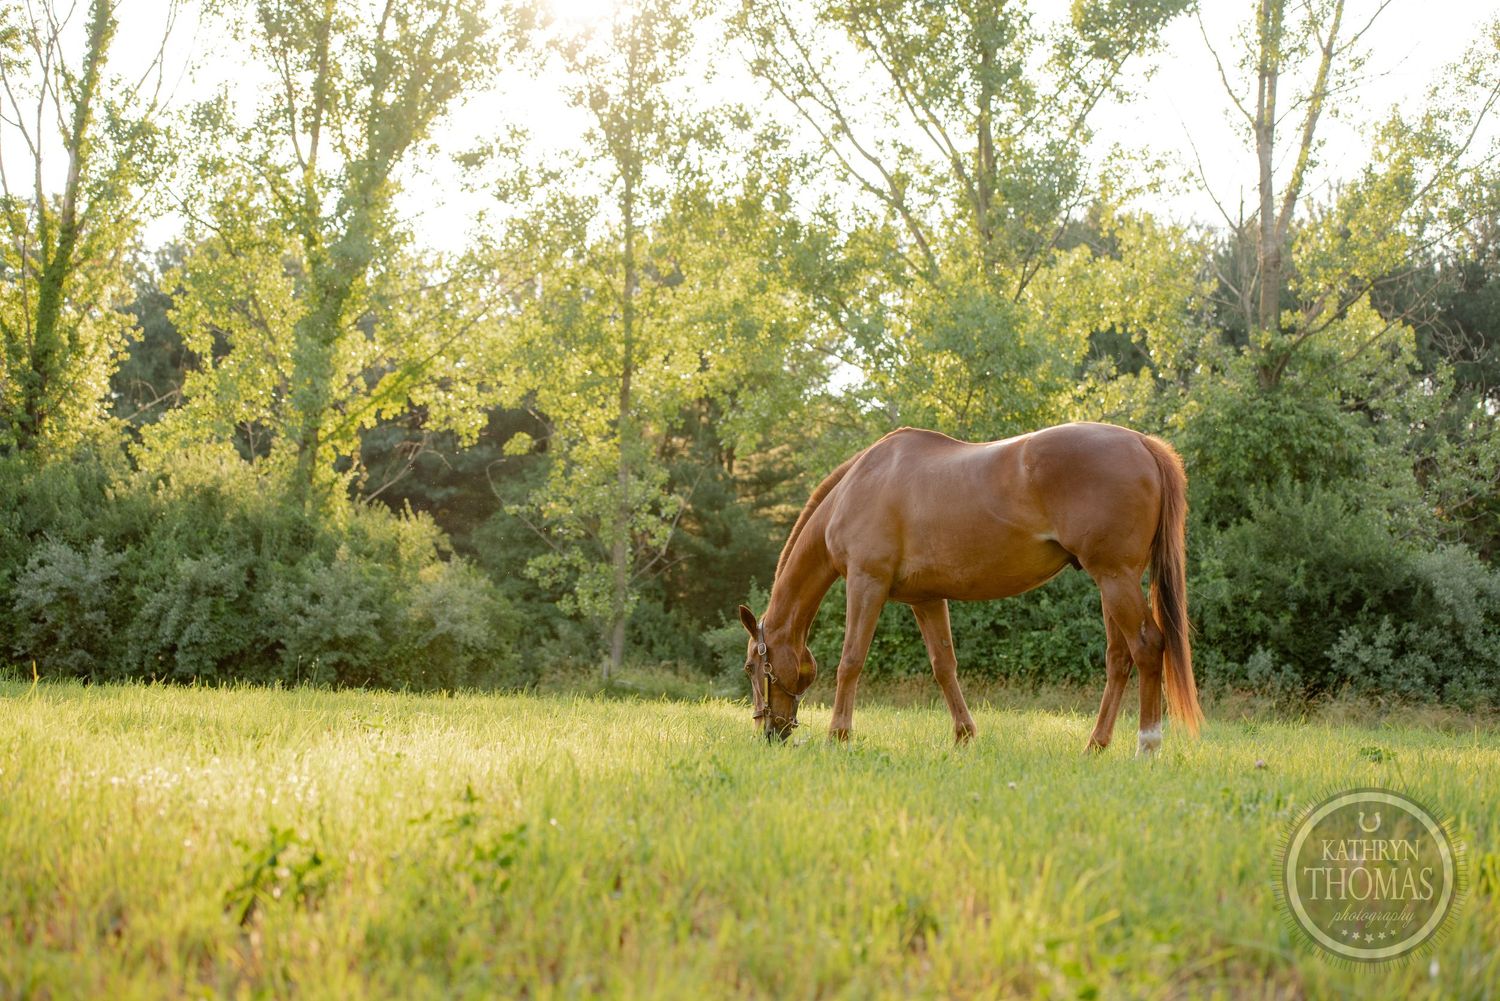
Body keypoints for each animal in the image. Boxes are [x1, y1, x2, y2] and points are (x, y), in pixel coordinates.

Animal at [736, 422, 1203, 754]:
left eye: (751, 666)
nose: (769, 732)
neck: (860, 484)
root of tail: (1142, 443)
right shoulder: (925, 599)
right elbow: (944, 666)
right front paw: (964, 735)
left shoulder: (866, 584)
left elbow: (850, 661)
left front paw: (838, 735)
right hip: (1113, 583)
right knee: (1118, 659)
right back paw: (1096, 745)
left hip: (1115, 578)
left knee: (1147, 647)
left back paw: (1147, 746)